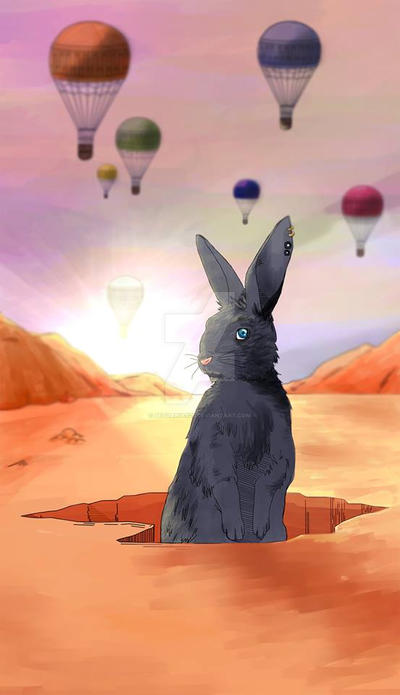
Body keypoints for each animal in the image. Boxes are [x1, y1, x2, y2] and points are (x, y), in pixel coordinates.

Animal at [161, 216, 296, 543]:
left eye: (242, 333)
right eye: (208, 325)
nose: (205, 359)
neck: (242, 388)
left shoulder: (281, 437)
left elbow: (272, 481)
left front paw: (258, 528)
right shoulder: (212, 440)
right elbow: (222, 481)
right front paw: (236, 531)